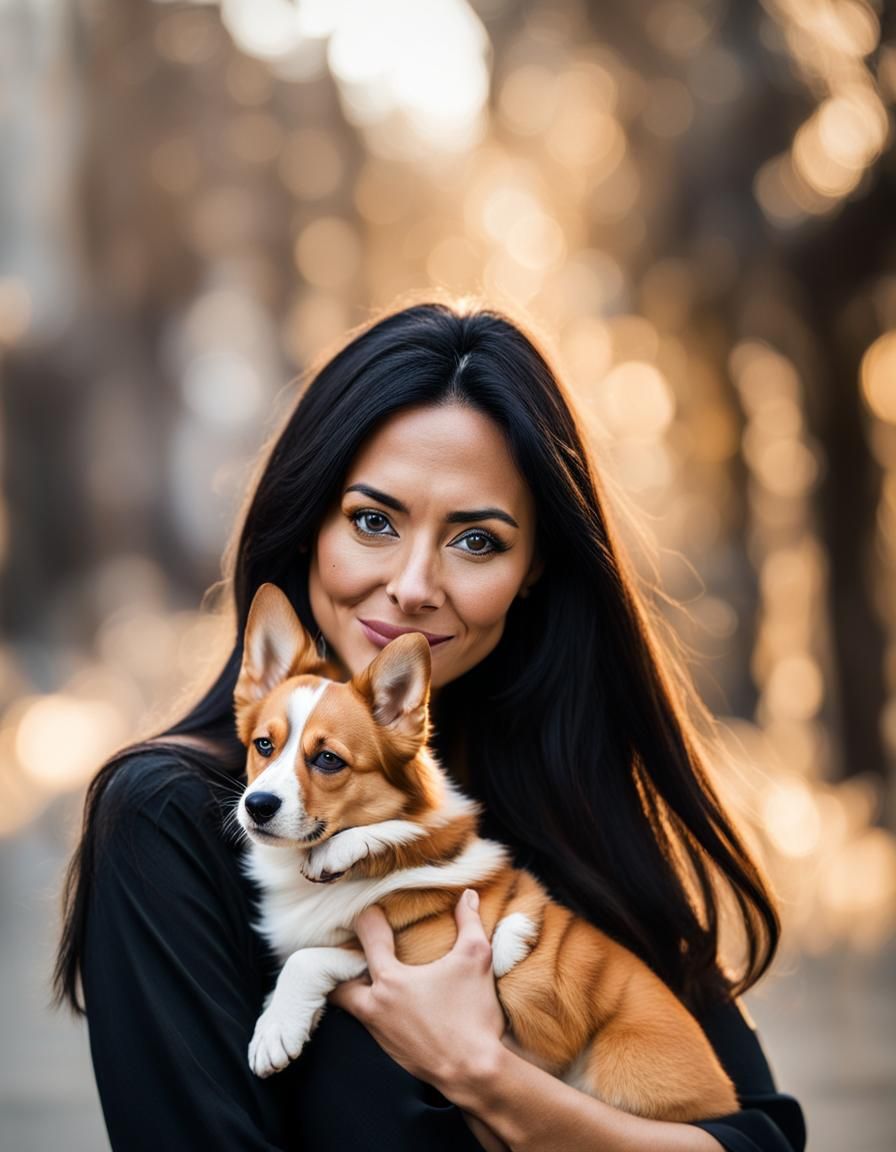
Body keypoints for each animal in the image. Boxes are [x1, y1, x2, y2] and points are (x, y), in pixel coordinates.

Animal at [233, 580, 737, 1119]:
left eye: (328, 760)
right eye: (264, 746)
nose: (257, 805)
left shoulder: (416, 958)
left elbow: (312, 954)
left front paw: (275, 1029)